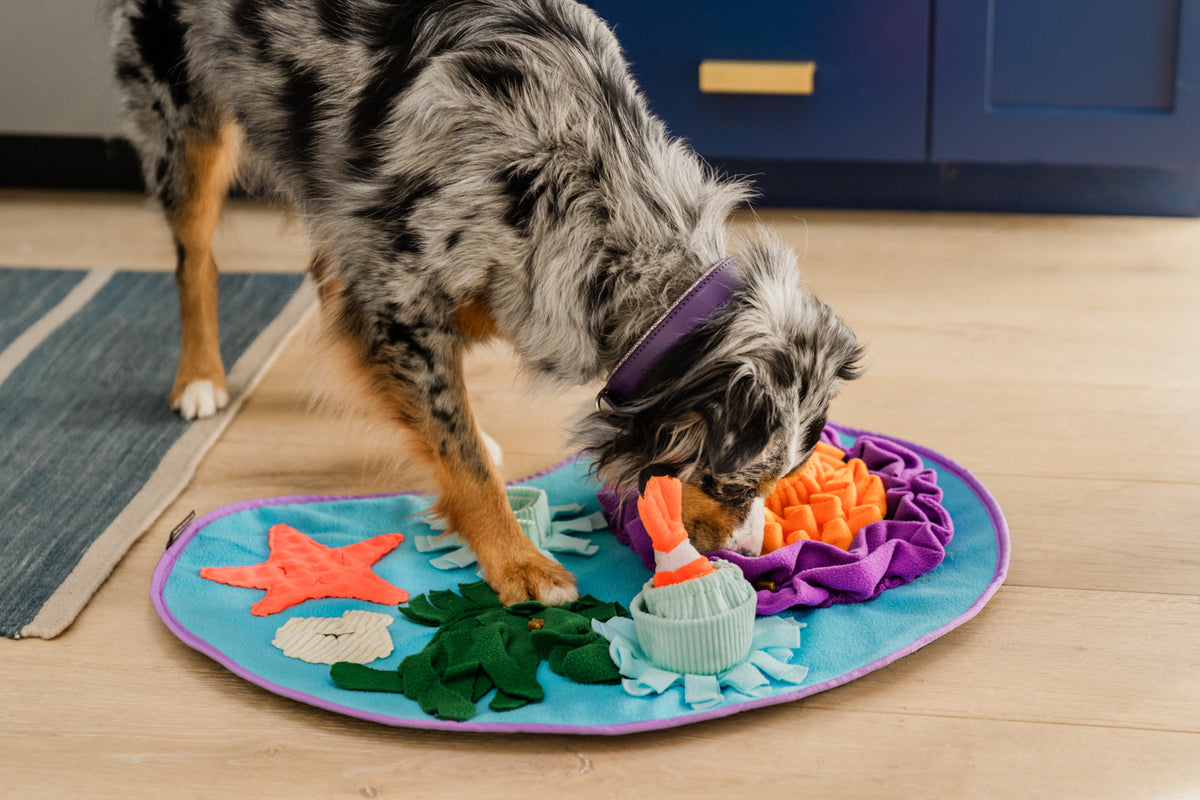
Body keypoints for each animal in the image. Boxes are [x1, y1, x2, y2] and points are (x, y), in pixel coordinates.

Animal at [112, 0, 864, 599]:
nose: (751, 559)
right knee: (196, 259)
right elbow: (462, 454)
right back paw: (201, 378)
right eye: (737, 484)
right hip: (185, 117)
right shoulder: (400, 293)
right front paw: (519, 562)